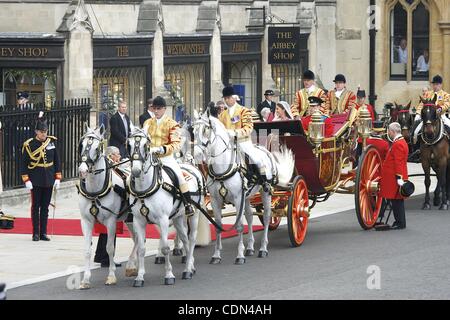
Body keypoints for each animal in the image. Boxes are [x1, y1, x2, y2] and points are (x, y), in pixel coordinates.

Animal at [77, 125, 138, 290]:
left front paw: (111, 276)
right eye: (81, 145)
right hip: (130, 219)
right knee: (137, 240)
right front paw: (85, 279)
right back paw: (132, 266)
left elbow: (110, 248)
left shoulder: (111, 221)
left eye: (97, 147)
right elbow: (86, 250)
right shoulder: (86, 221)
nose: (82, 170)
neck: (95, 190)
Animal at [126, 125, 204, 288]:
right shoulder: (138, 221)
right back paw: (190, 266)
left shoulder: (162, 220)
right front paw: (139, 277)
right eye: (128, 144)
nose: (135, 171)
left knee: (192, 239)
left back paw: (187, 270)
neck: (146, 188)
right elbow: (141, 249)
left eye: (146, 145)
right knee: (184, 238)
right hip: (178, 217)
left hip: (194, 214)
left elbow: (166, 247)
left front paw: (169, 275)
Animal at [193, 112, 296, 264]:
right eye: (193, 131)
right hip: (247, 197)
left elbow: (240, 226)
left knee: (267, 217)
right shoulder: (216, 200)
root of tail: (265, 150)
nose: (197, 155)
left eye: (206, 129)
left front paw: (240, 256)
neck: (223, 169)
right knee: (250, 217)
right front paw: (216, 256)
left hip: (265, 193)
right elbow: (218, 226)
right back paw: (250, 248)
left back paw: (263, 248)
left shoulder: (237, 199)